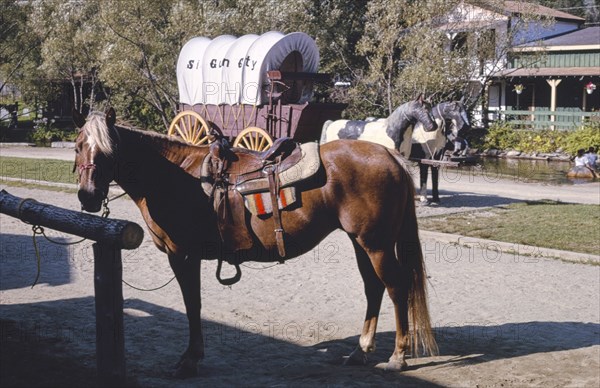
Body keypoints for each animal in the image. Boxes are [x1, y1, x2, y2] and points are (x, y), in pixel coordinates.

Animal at [74, 110, 436, 378]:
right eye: (78, 146)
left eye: (109, 149)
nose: (88, 195)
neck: (178, 175)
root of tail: (389, 156)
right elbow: (194, 304)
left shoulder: (183, 255)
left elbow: (192, 304)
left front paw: (190, 359)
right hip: (362, 242)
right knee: (373, 288)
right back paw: (359, 352)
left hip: (375, 244)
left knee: (396, 287)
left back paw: (398, 356)